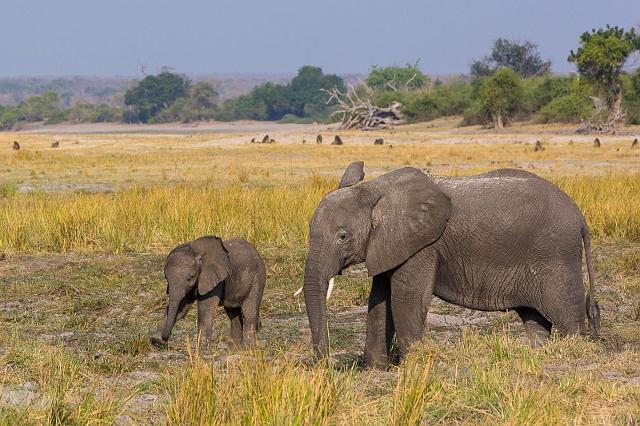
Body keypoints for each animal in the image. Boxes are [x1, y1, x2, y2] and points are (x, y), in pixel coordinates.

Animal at [302, 161, 596, 368]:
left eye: (343, 236)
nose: (325, 364)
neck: (374, 190)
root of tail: (581, 218)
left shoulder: (423, 244)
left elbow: (407, 296)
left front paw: (414, 366)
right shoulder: (390, 243)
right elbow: (379, 299)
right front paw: (376, 369)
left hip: (556, 257)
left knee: (567, 317)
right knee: (535, 320)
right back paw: (539, 355)